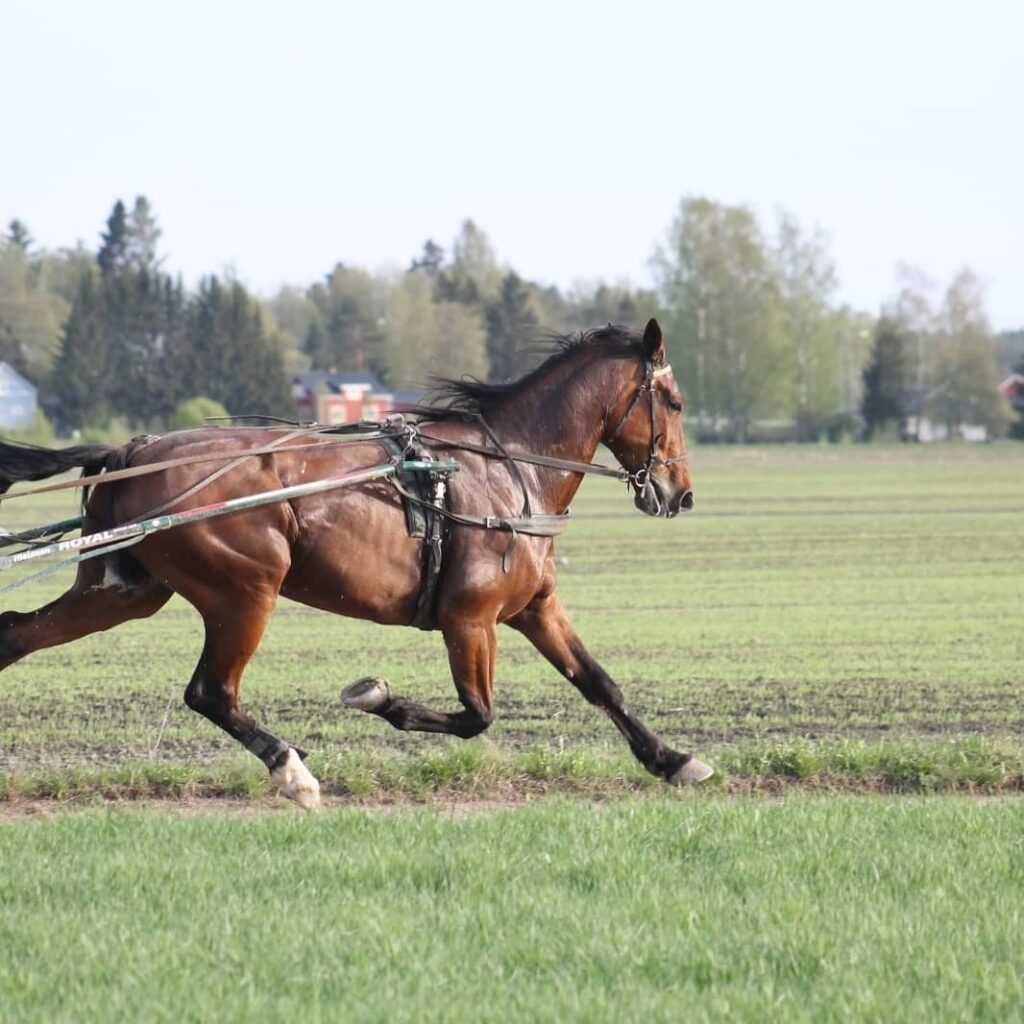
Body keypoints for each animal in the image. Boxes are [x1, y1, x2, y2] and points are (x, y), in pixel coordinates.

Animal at [0, 319, 712, 806]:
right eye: (676, 403)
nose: (680, 494)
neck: (507, 467)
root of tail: (133, 450)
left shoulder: (535, 607)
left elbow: (599, 683)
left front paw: (672, 759)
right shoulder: (469, 619)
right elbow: (476, 715)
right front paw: (376, 697)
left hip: (124, 590)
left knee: (17, 634)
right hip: (245, 590)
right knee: (211, 692)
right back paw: (291, 768)